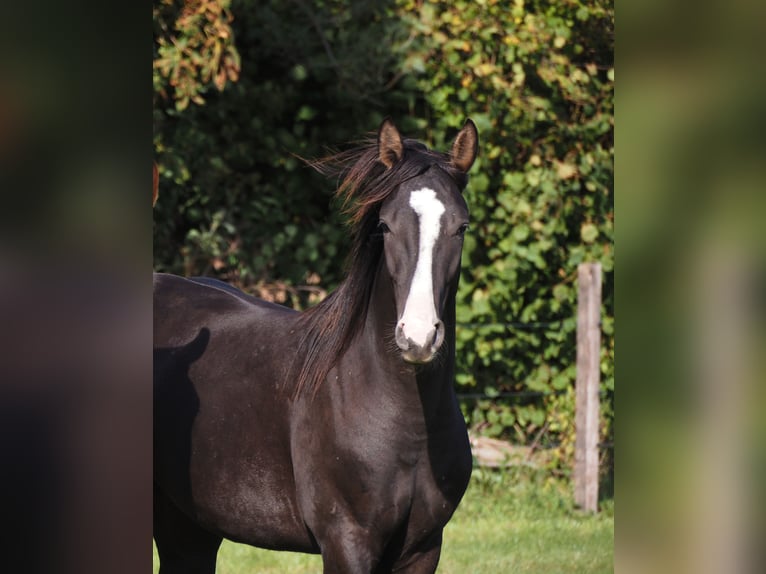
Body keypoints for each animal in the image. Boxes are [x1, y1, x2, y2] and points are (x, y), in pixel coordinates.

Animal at [154, 119, 480, 572]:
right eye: (385, 225)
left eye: (461, 227)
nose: (418, 336)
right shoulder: (347, 543)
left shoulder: (423, 548)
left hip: (189, 528)